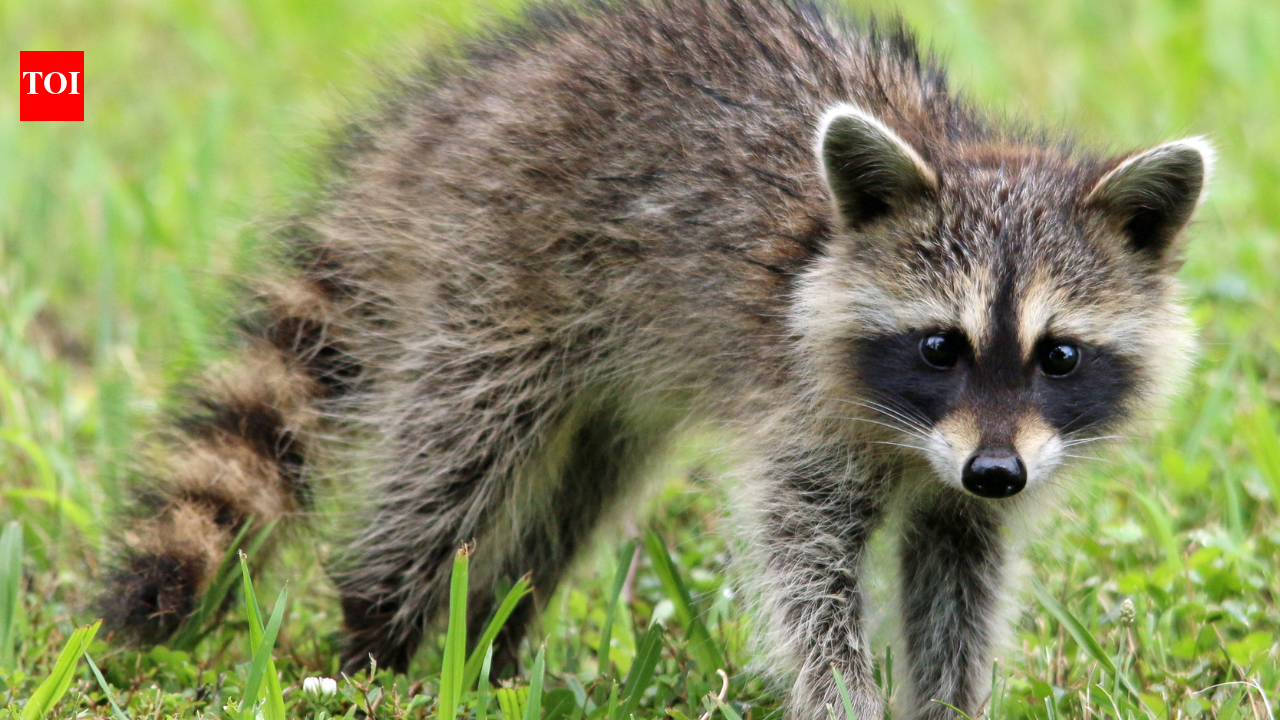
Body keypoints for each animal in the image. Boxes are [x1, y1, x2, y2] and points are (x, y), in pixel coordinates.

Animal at [99, 1, 1212, 718]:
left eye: (1058, 356)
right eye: (940, 346)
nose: (995, 471)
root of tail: (464, 105)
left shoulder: (975, 476)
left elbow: (958, 575)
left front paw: (947, 701)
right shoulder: (803, 414)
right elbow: (802, 569)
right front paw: (841, 696)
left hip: (609, 372)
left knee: (575, 491)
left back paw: (494, 636)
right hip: (500, 270)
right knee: (454, 453)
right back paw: (380, 631)